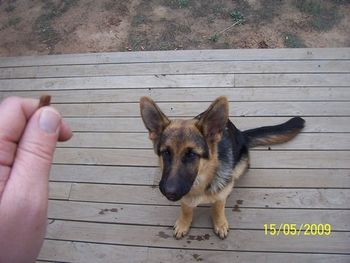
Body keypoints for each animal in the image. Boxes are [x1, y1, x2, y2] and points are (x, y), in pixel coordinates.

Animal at [139, 96, 304, 239]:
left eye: (191, 154)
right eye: (165, 152)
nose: (169, 192)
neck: (201, 183)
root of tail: (241, 135)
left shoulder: (218, 195)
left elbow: (218, 207)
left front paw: (220, 223)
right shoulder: (185, 197)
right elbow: (186, 208)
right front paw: (183, 223)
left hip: (240, 166)